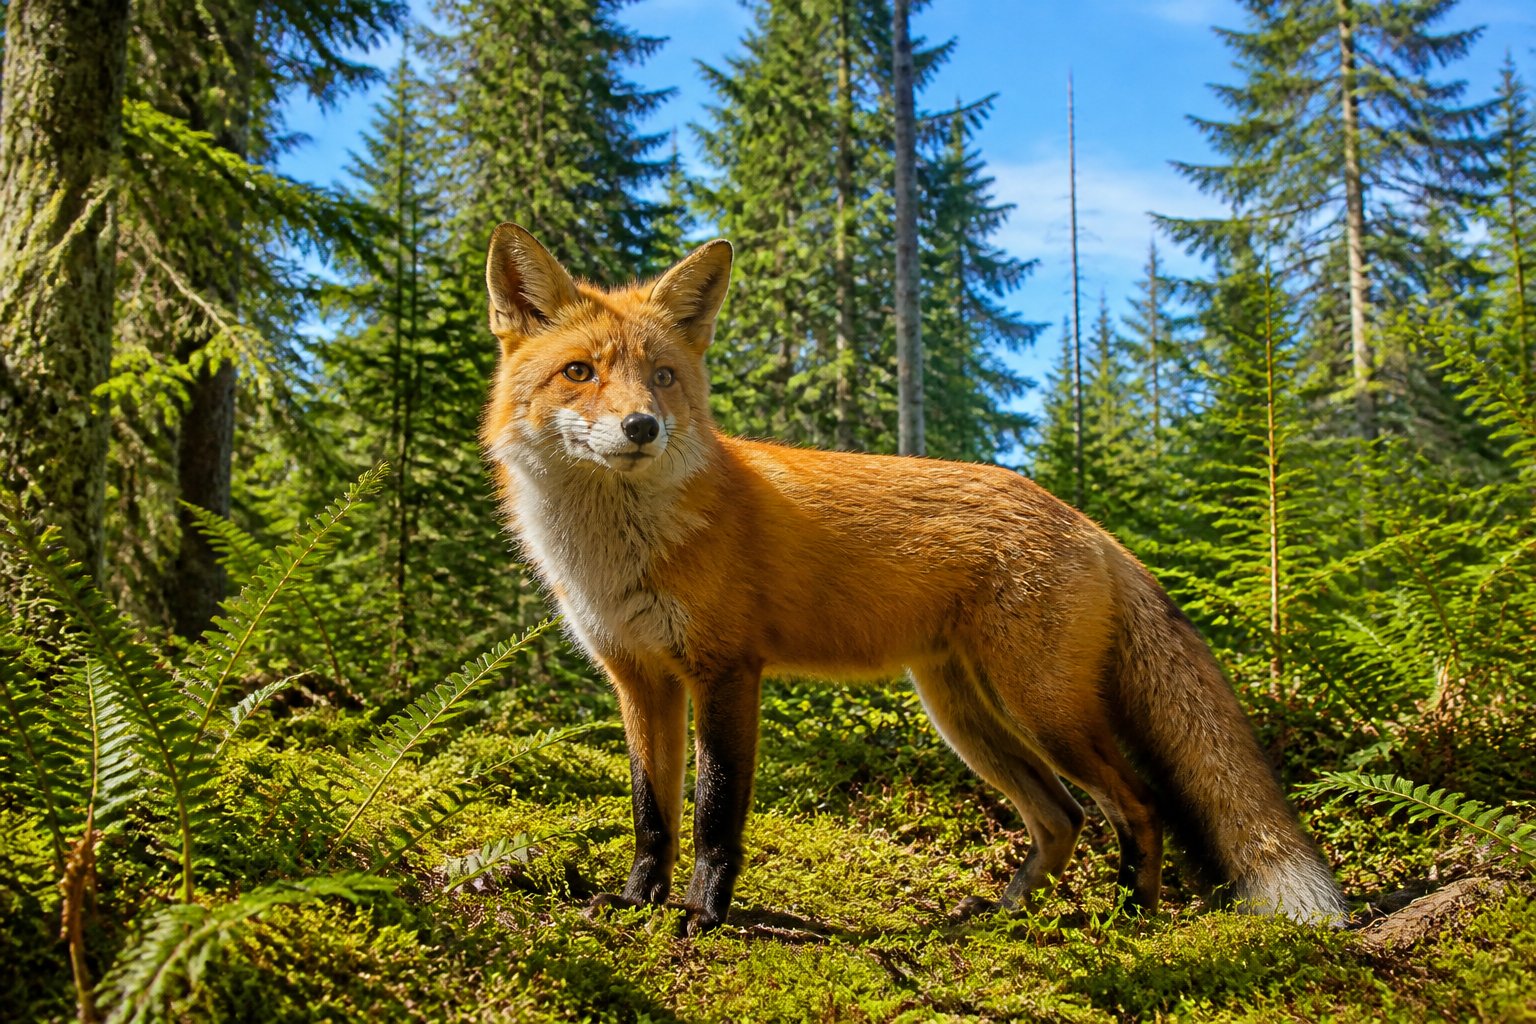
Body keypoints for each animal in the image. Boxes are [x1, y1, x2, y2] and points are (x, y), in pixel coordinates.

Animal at [479, 222, 1349, 936]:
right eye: (580, 372)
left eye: (661, 377)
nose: (642, 428)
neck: (616, 555)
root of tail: (1084, 520)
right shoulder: (640, 679)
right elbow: (651, 814)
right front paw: (637, 901)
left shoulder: (725, 671)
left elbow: (715, 816)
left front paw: (702, 915)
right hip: (964, 714)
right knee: (1062, 817)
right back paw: (1002, 916)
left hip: (1047, 711)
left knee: (1137, 804)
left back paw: (1132, 915)